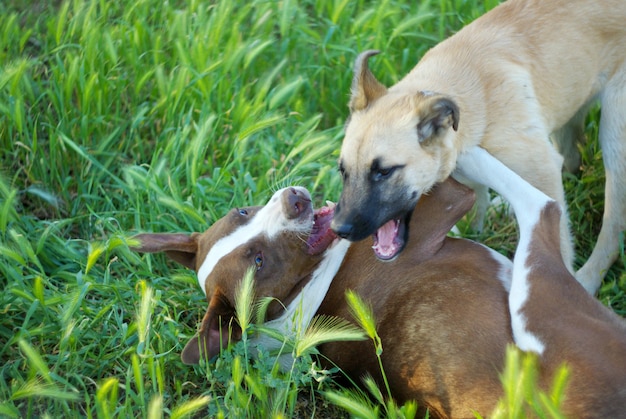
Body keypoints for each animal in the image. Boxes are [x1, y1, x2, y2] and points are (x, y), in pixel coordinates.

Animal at [326, 0, 624, 296]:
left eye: (384, 172)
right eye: (343, 171)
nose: (338, 230)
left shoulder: (541, 172)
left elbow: (555, 243)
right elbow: (477, 216)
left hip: (614, 133)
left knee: (613, 226)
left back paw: (588, 280)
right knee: (573, 160)